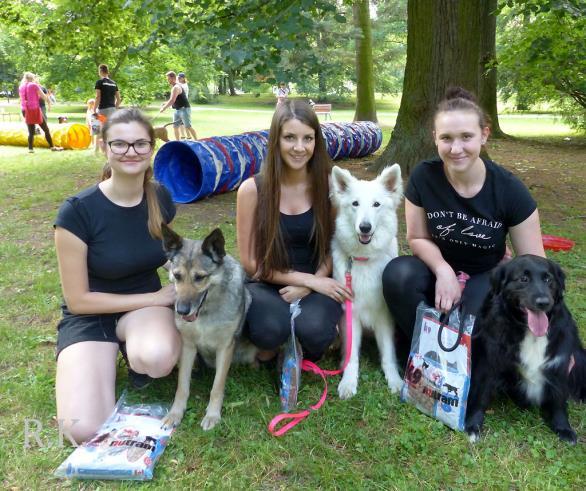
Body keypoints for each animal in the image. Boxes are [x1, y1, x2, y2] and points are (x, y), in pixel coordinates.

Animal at [160, 225, 256, 432]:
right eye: (177, 275)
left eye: (200, 277)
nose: (181, 310)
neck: (205, 312)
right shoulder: (187, 347)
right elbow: (182, 386)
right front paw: (175, 413)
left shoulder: (225, 348)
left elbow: (217, 387)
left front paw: (212, 415)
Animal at [328, 165, 402, 400]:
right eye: (355, 204)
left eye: (376, 204)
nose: (365, 227)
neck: (363, 258)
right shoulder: (350, 315)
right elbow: (352, 355)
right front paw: (348, 382)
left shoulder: (384, 316)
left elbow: (388, 353)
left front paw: (395, 380)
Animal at [466, 256, 584, 444]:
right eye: (523, 279)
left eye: (548, 279)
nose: (543, 303)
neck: (530, 332)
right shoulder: (487, 363)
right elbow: (480, 395)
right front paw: (473, 425)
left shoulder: (559, 365)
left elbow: (558, 400)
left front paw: (563, 428)